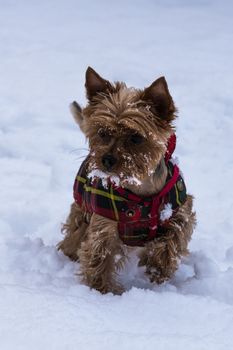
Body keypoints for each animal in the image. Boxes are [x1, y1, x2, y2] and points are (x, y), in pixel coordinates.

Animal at [57, 67, 196, 294]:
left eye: (136, 137)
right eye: (103, 133)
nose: (106, 159)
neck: (140, 190)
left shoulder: (178, 212)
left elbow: (173, 239)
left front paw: (157, 268)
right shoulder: (104, 223)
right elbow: (100, 256)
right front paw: (103, 291)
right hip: (81, 209)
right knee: (74, 232)